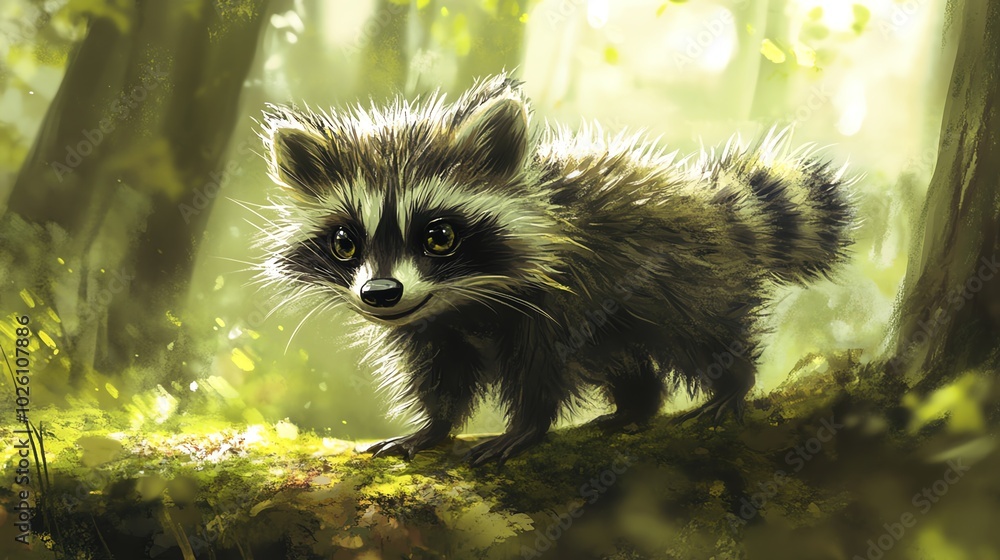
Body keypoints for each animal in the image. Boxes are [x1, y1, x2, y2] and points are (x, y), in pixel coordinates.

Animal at [256, 74, 854, 465]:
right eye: (344, 243)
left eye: (439, 236)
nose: (380, 293)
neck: (463, 299)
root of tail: (711, 204)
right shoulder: (431, 326)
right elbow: (440, 375)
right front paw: (434, 426)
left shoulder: (563, 294)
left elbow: (541, 367)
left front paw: (527, 425)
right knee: (627, 359)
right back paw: (634, 406)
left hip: (682, 278)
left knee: (704, 334)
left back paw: (731, 385)